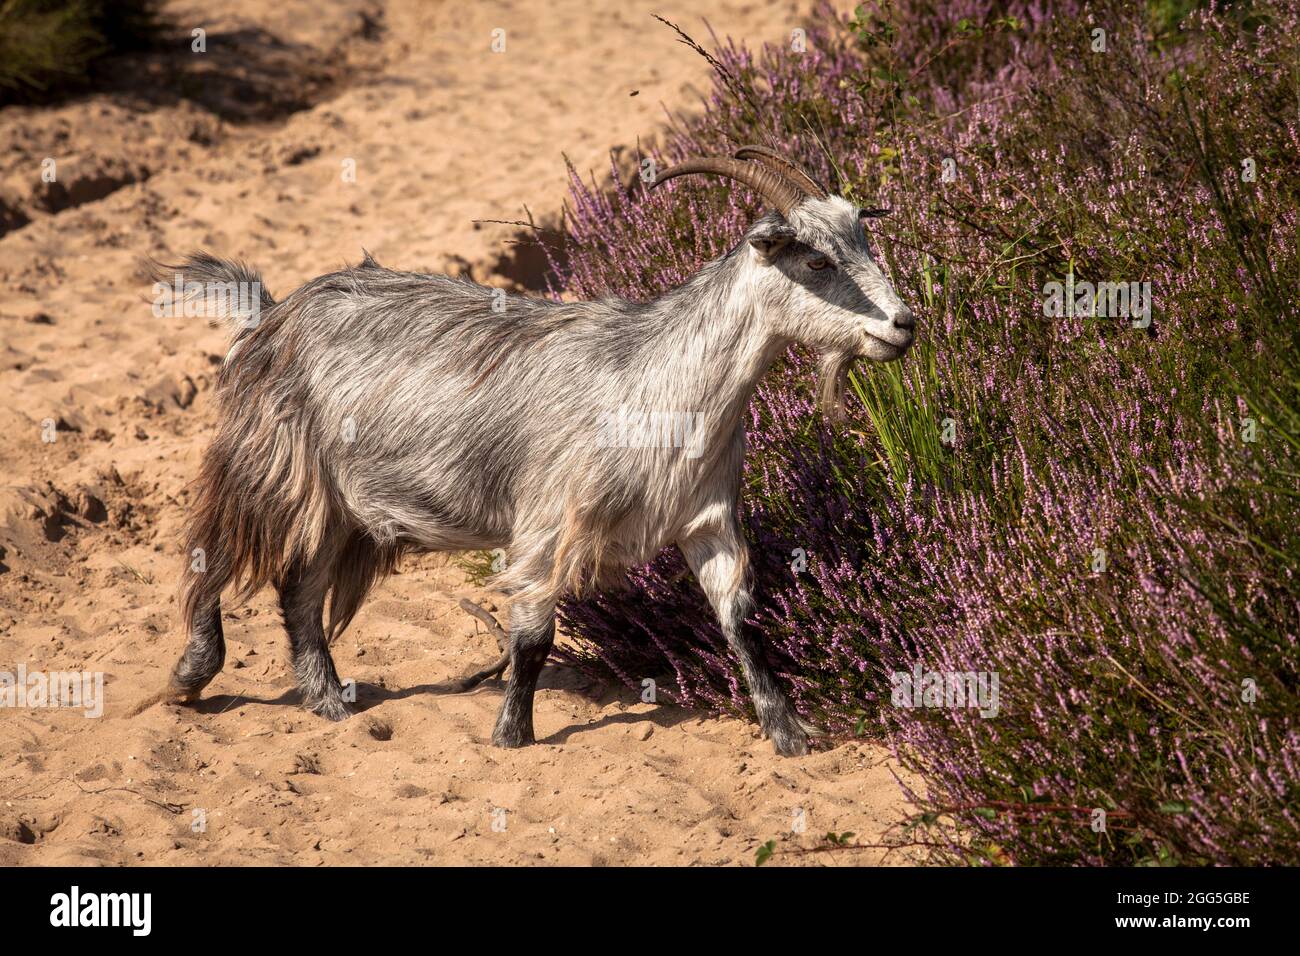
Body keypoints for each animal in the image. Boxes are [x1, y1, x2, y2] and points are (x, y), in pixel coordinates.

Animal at [162, 145, 915, 754]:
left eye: (863, 242)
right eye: (815, 259)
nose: (904, 325)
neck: (660, 380)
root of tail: (270, 312)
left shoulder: (708, 519)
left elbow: (741, 619)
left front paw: (788, 732)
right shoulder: (547, 523)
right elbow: (531, 636)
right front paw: (511, 735)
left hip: (343, 506)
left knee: (300, 590)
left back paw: (326, 699)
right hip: (273, 464)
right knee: (214, 550)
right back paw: (191, 676)